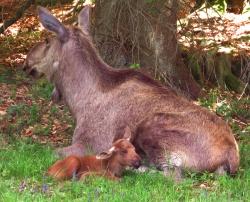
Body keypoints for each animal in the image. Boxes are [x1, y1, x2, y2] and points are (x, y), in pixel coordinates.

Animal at [23, 5, 240, 178]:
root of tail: (232, 157)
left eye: (46, 40)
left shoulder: (90, 143)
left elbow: (49, 151)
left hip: (153, 128)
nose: (26, 63)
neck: (77, 101)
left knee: (172, 174)